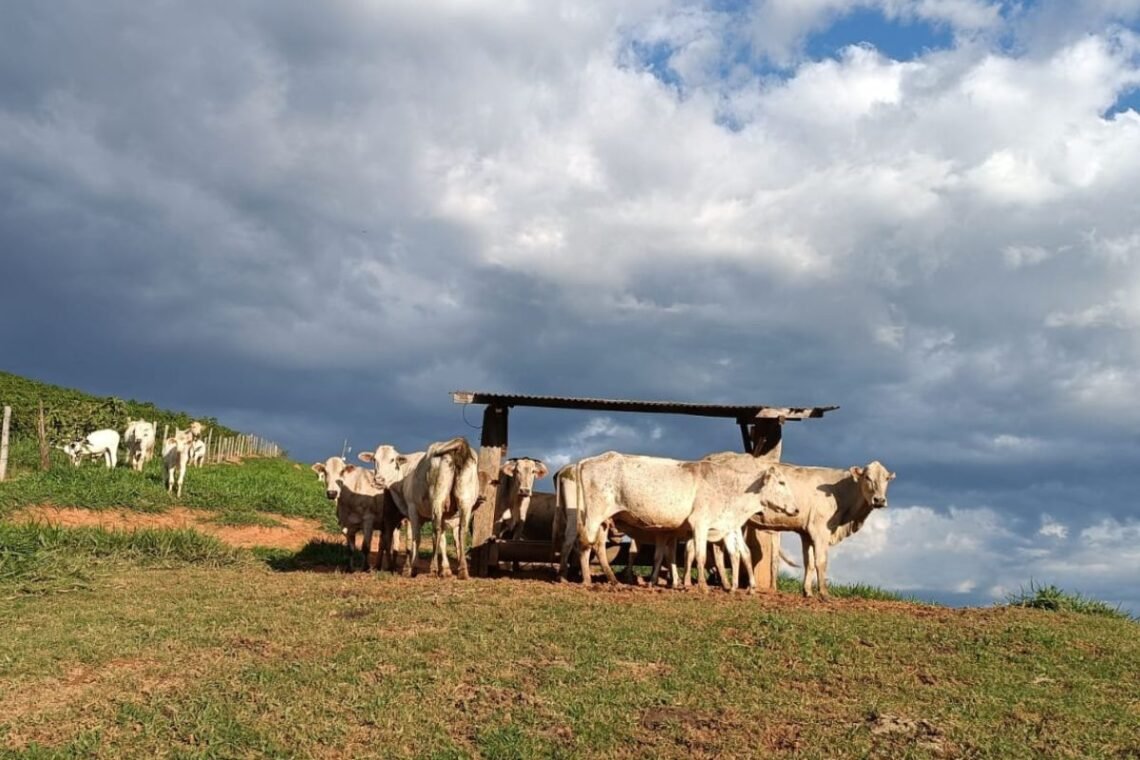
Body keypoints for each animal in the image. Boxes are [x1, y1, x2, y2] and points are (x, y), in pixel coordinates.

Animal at [565, 451, 798, 592]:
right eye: (781, 482)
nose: (795, 509)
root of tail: (587, 461)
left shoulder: (726, 527)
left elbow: (735, 553)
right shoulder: (700, 523)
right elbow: (700, 555)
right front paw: (701, 586)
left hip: (603, 520)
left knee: (595, 544)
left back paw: (612, 580)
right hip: (594, 514)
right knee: (585, 543)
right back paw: (587, 580)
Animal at [747, 460, 898, 597]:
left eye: (886, 479)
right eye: (867, 477)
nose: (879, 500)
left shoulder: (806, 533)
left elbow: (809, 563)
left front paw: (807, 592)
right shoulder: (820, 530)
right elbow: (821, 561)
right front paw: (824, 593)